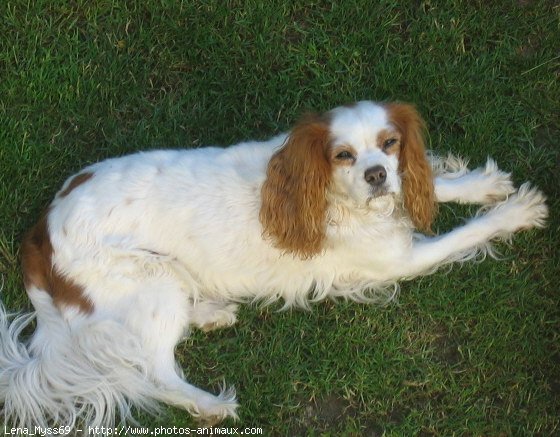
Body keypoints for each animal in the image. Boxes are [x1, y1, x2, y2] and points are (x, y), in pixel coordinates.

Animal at [0, 101, 548, 426]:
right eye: (343, 155)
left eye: (390, 143)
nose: (376, 175)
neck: (322, 197)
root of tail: (38, 235)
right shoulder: (402, 257)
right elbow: (466, 233)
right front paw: (516, 212)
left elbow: (430, 185)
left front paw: (481, 185)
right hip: (148, 282)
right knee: (152, 371)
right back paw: (211, 405)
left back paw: (211, 311)